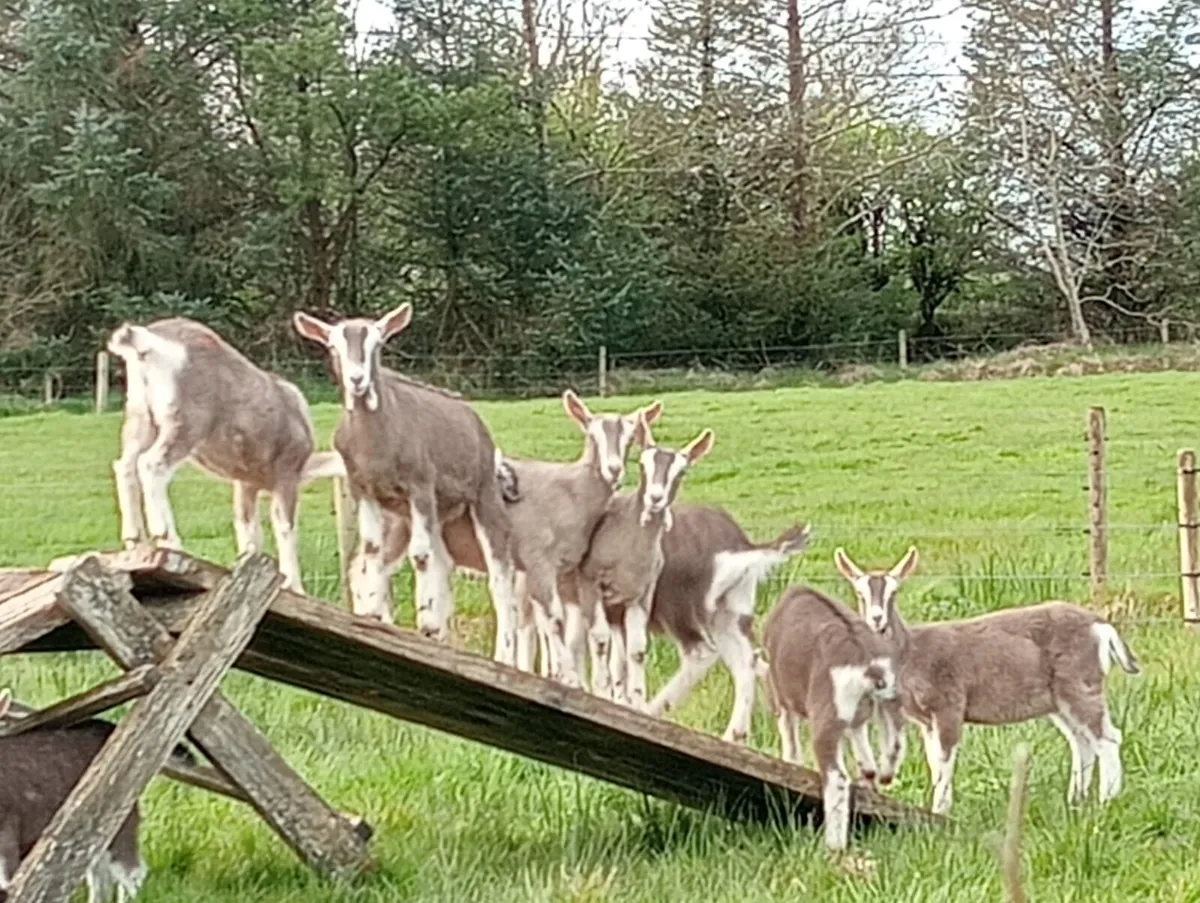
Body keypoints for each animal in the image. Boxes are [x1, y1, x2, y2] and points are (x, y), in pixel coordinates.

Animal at [107, 317, 341, 594]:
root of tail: (143, 341)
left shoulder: (245, 480)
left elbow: (247, 528)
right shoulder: (286, 468)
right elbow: (284, 525)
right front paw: (293, 586)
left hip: (138, 415)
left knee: (125, 465)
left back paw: (134, 539)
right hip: (186, 418)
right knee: (152, 464)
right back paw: (168, 540)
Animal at [293, 304, 523, 664]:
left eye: (378, 343)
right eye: (332, 346)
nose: (357, 380)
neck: (378, 445)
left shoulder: (421, 486)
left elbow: (421, 555)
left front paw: (425, 620)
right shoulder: (364, 489)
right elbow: (372, 550)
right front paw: (374, 614)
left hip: (482, 494)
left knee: (499, 575)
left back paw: (500, 653)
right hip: (418, 516)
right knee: (436, 561)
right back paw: (436, 631)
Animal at [579, 413, 714, 710]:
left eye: (681, 472)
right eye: (642, 464)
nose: (655, 498)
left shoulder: (639, 595)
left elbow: (636, 650)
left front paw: (637, 701)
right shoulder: (592, 584)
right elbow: (599, 640)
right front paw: (601, 692)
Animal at [757, 586, 899, 851]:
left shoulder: (780, 696)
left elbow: (791, 748)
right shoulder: (855, 719)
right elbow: (867, 761)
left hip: (825, 717)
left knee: (837, 777)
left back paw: (834, 845)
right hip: (889, 709)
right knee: (889, 753)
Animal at [835, 546, 1141, 816]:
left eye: (894, 592)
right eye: (859, 593)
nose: (877, 620)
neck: (913, 653)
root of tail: (1102, 627)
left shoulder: (949, 703)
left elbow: (944, 761)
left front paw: (940, 812)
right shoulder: (926, 719)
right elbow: (934, 763)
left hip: (1080, 682)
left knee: (1107, 737)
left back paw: (1106, 802)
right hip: (1058, 699)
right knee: (1081, 741)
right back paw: (1075, 802)